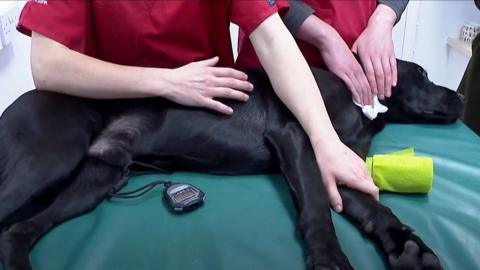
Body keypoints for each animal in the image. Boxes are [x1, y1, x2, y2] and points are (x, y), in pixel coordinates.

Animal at [0, 60, 464, 270]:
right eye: (423, 74)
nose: (461, 97)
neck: (359, 100)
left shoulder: (336, 161)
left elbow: (374, 209)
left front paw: (408, 247)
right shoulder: (300, 140)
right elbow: (317, 206)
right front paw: (328, 256)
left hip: (99, 177)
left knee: (18, 231)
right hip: (48, 158)